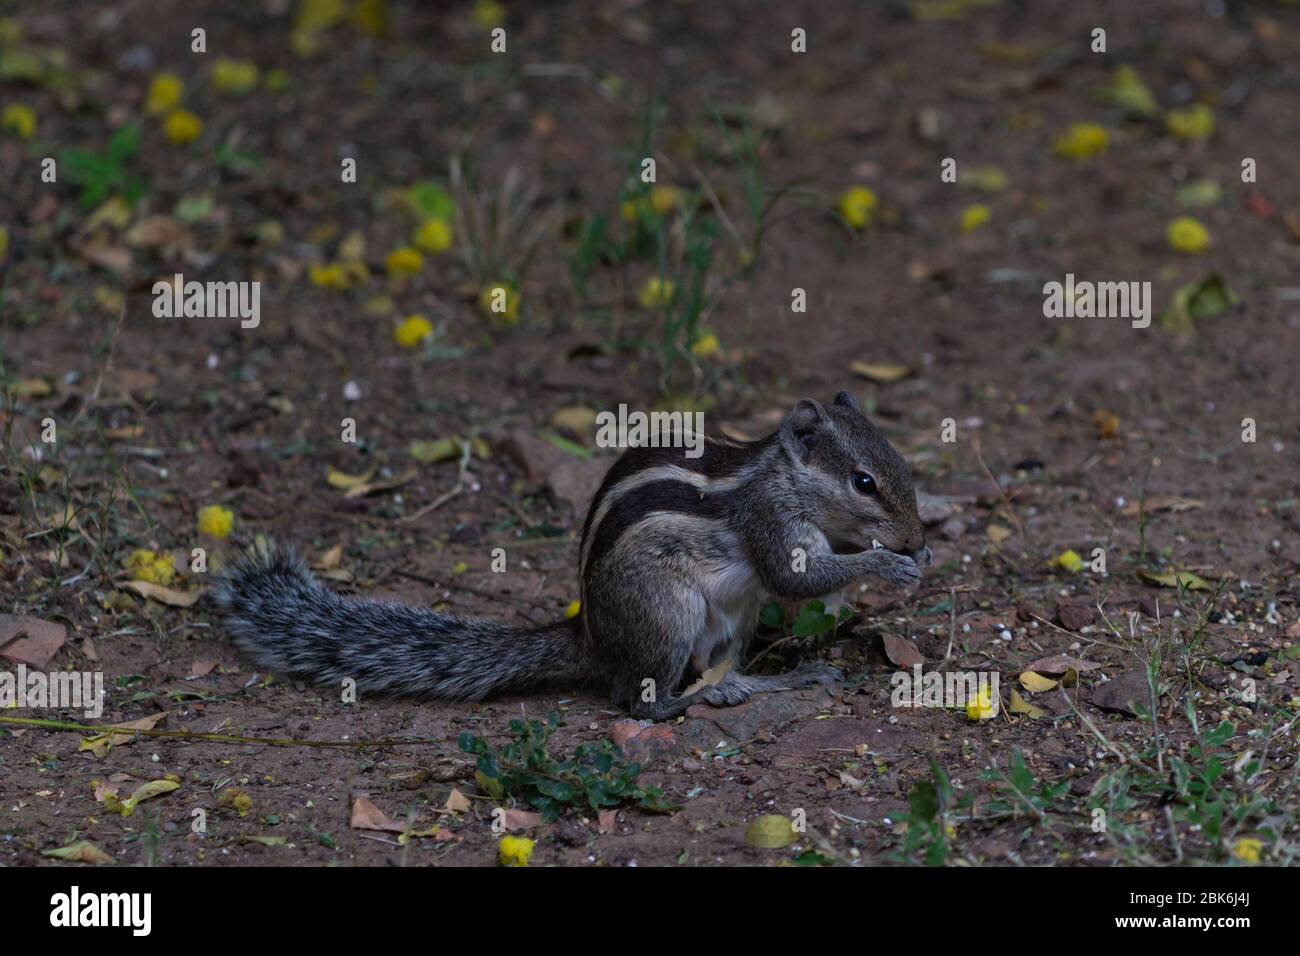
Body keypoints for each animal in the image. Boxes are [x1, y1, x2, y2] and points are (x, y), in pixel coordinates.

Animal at [218, 390, 930, 717]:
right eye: (864, 481)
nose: (919, 540)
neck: (781, 475)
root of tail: (591, 634)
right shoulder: (768, 521)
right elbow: (791, 578)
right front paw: (886, 564)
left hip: (734, 623)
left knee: (720, 667)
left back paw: (772, 682)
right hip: (666, 615)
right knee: (639, 699)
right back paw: (690, 701)